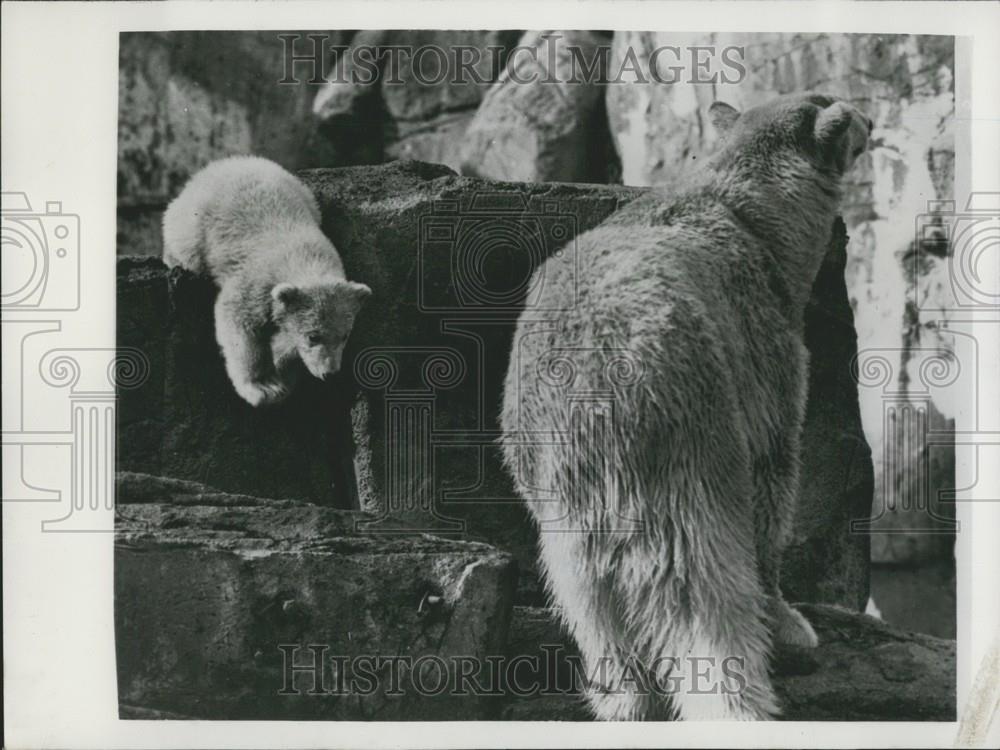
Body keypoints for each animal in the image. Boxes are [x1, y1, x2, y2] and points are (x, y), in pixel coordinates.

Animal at [504, 95, 872, 724]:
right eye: (838, 109)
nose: (869, 120)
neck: (745, 212)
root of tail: (594, 392)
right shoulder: (760, 344)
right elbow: (772, 475)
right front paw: (792, 622)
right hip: (688, 430)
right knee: (699, 581)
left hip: (550, 475)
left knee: (586, 593)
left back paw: (624, 699)